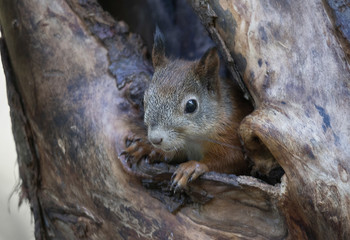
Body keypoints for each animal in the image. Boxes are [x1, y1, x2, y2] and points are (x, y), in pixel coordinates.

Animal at [124, 28, 253, 188]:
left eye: (191, 106)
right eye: (144, 99)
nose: (155, 139)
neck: (193, 140)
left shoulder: (232, 135)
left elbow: (233, 159)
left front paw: (192, 167)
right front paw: (146, 148)